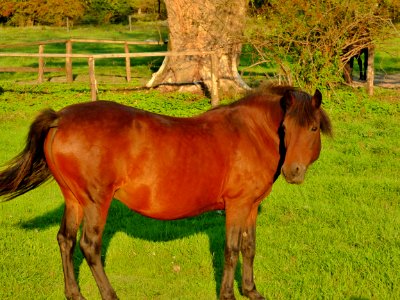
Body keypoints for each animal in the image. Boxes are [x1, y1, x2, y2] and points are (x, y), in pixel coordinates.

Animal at [0, 85, 332, 298]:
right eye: (286, 128)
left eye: (313, 128)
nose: (293, 172)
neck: (250, 133)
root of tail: (60, 117)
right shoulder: (237, 206)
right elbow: (232, 250)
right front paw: (228, 294)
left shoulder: (250, 206)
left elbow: (249, 248)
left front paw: (251, 291)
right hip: (96, 201)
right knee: (89, 246)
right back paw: (110, 294)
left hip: (74, 200)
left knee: (65, 241)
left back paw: (74, 294)